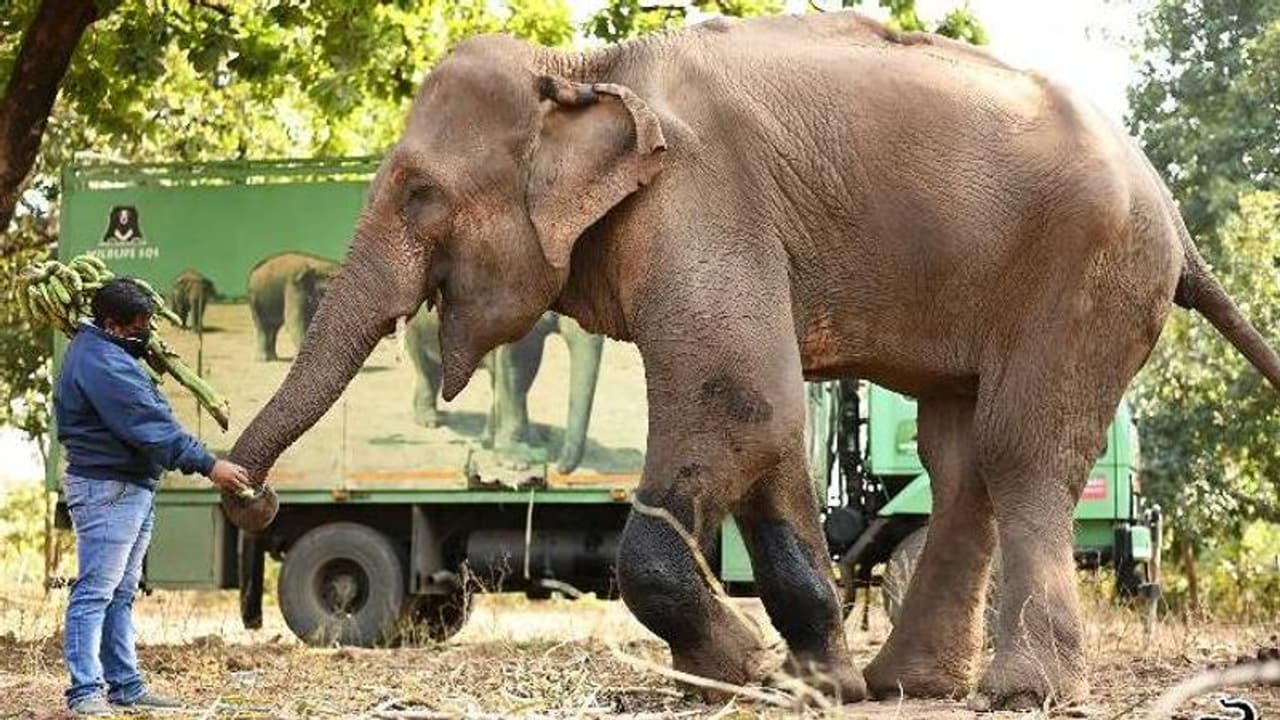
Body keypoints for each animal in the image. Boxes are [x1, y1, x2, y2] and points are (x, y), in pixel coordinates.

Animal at [404, 306, 604, 474]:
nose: (559, 469)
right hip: (415, 323)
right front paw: (515, 463)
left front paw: (490, 442)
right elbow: (512, 365)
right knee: (427, 368)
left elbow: (525, 369)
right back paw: (430, 421)